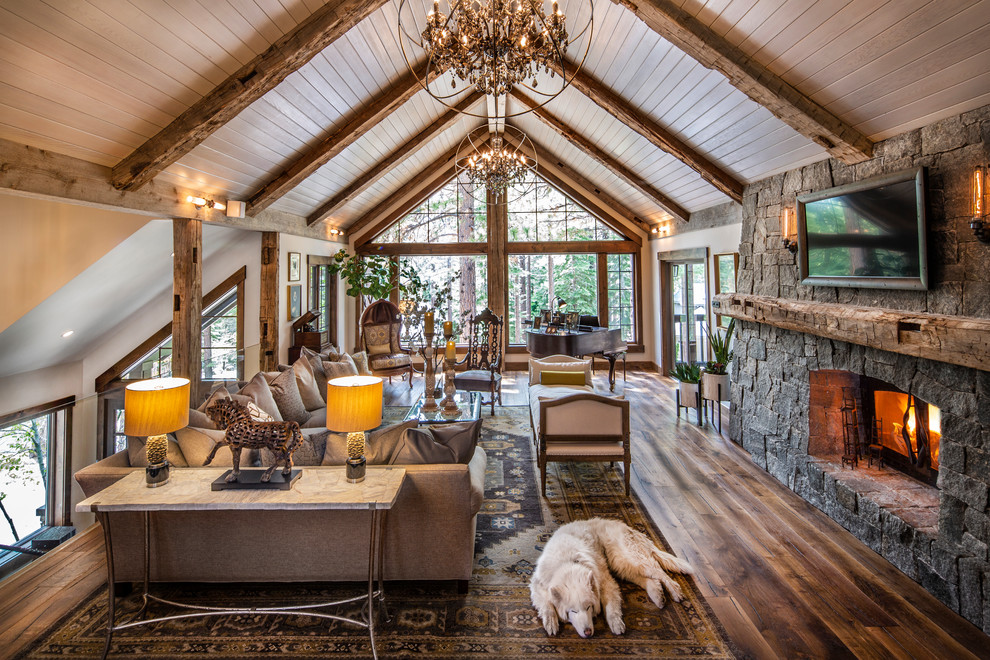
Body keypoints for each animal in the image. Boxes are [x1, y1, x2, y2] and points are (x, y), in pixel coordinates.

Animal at [532, 520, 692, 636]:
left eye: (588, 607)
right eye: (573, 611)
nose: (588, 632)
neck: (568, 563)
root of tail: (629, 528)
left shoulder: (606, 581)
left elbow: (611, 607)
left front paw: (616, 623)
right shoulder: (537, 585)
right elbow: (547, 605)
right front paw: (551, 623)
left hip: (627, 559)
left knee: (660, 573)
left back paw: (675, 592)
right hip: (623, 567)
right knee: (651, 579)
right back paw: (658, 596)